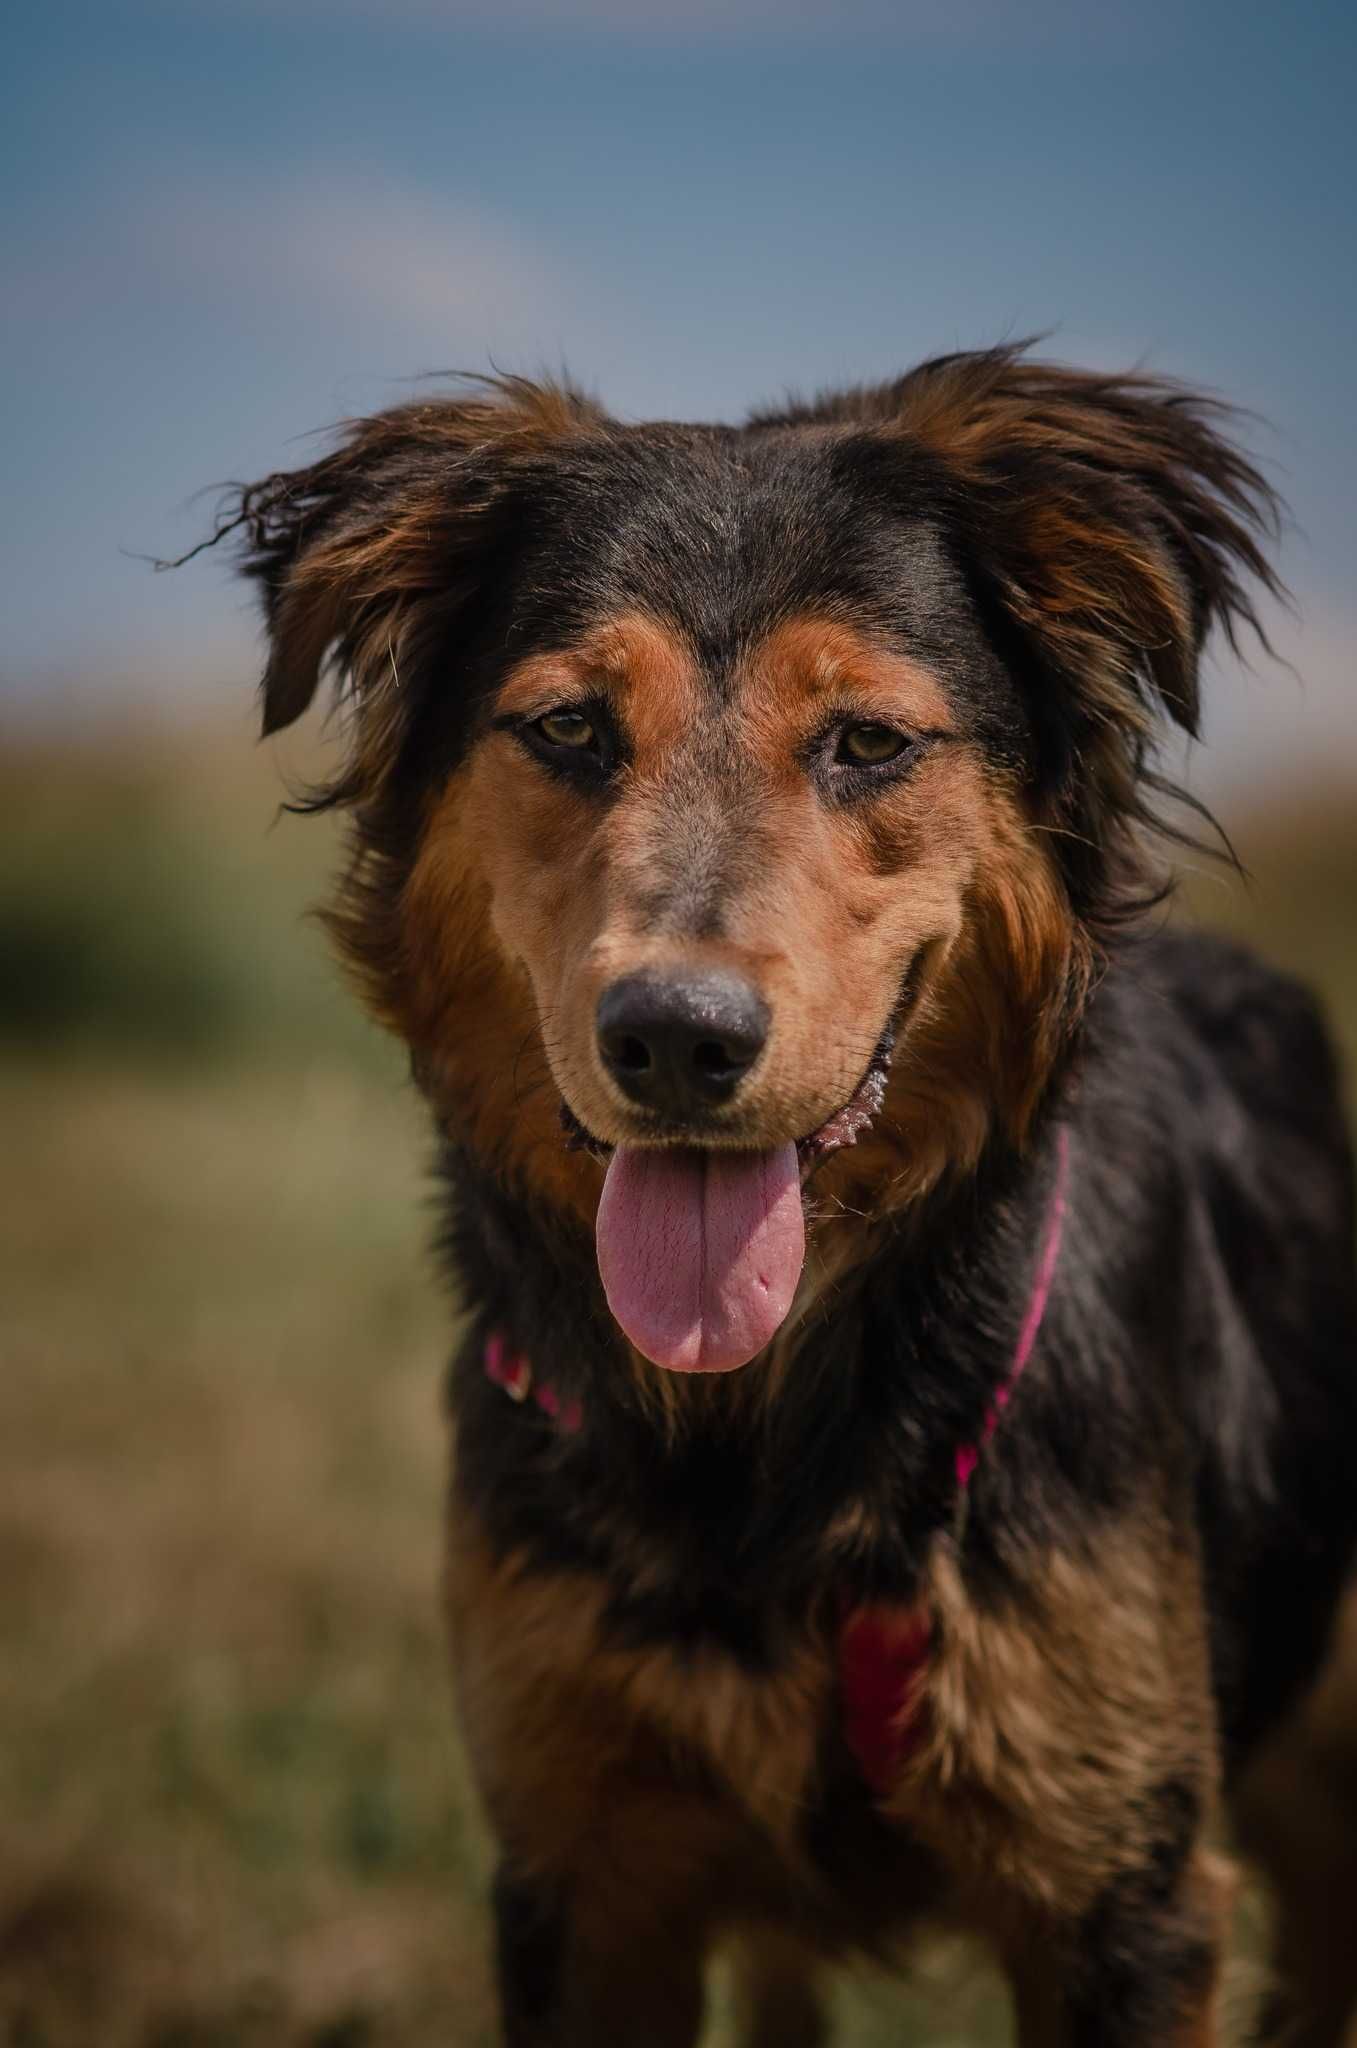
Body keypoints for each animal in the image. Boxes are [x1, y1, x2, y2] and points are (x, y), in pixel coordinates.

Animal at [209, 344, 1357, 2039]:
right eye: (569, 730)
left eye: (867, 744)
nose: (676, 1038)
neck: (753, 1440)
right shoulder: (582, 1871)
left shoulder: (1119, 1890)